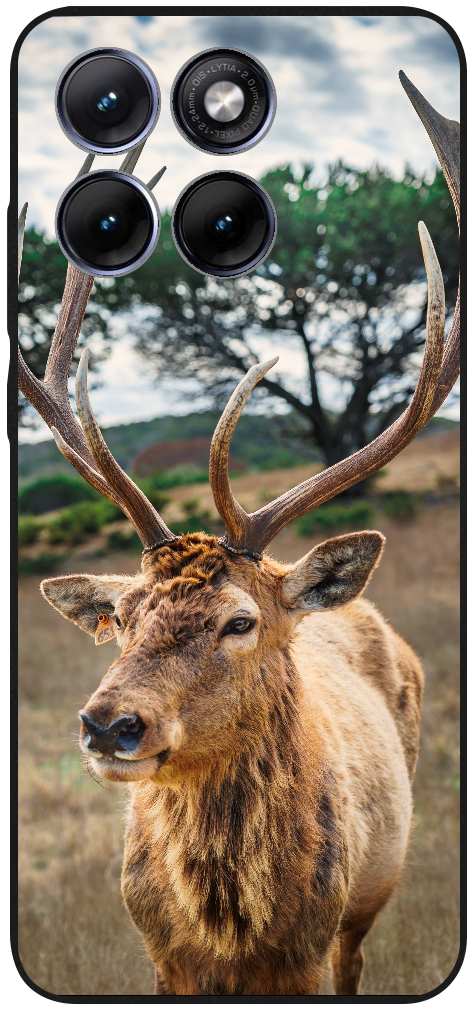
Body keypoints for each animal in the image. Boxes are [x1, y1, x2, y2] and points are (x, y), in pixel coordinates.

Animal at [18, 74, 460, 996]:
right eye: (122, 617)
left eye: (239, 620)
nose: (109, 724)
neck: (231, 931)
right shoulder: (159, 956)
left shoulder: (314, 948)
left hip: (369, 902)